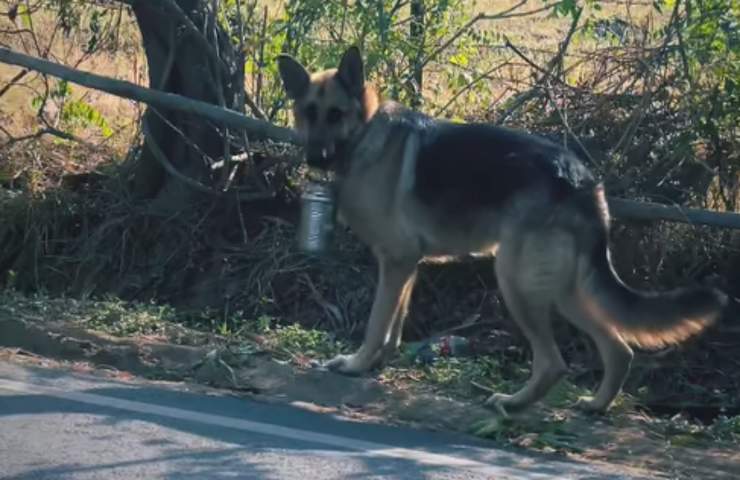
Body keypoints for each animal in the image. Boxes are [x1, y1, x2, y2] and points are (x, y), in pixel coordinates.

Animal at [278, 47, 728, 414]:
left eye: (335, 114)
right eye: (308, 112)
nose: (315, 157)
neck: (366, 133)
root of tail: (582, 179)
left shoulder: (396, 262)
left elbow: (376, 324)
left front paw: (356, 365)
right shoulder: (405, 266)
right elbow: (394, 325)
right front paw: (377, 364)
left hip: (516, 281)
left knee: (554, 363)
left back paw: (513, 403)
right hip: (563, 289)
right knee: (619, 347)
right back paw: (596, 405)